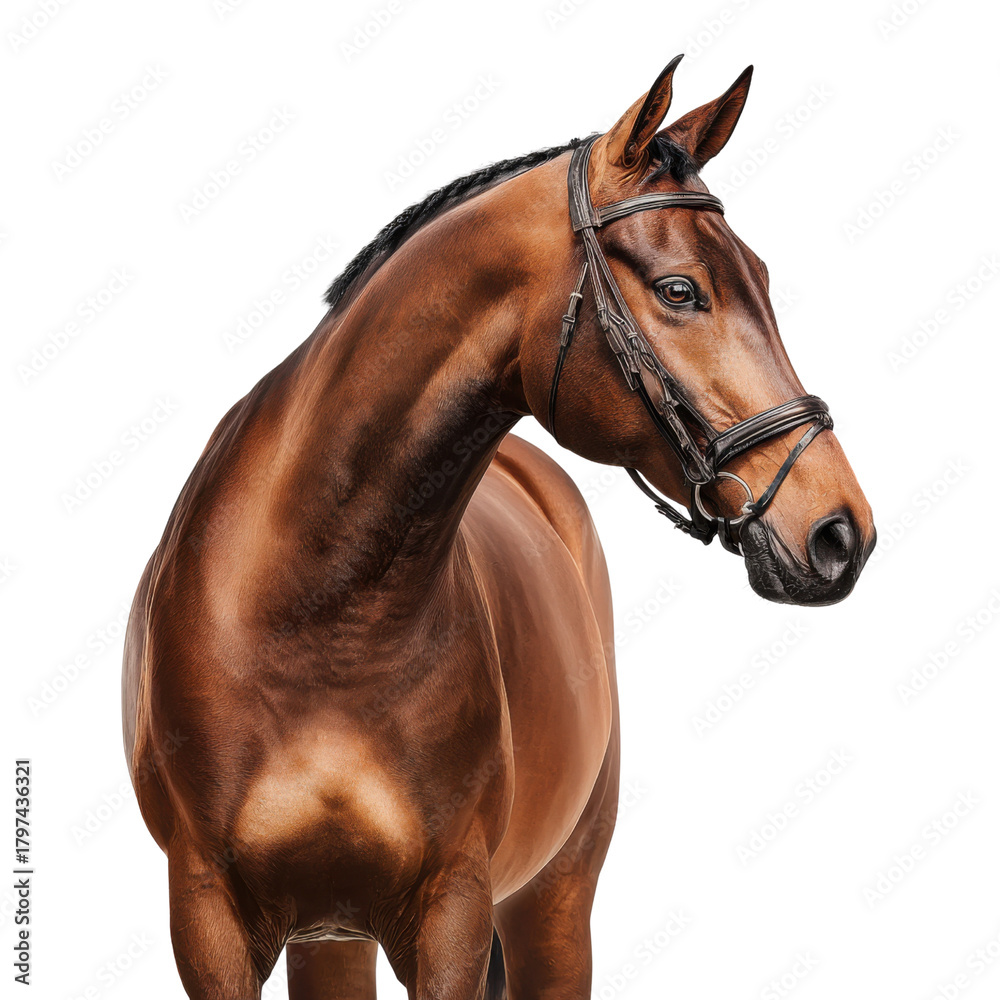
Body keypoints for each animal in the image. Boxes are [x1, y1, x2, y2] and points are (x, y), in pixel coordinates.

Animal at [122, 56, 874, 999]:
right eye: (680, 290)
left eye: (764, 279)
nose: (841, 533)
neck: (314, 613)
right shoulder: (211, 919)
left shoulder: (453, 911)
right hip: (335, 937)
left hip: (553, 899)